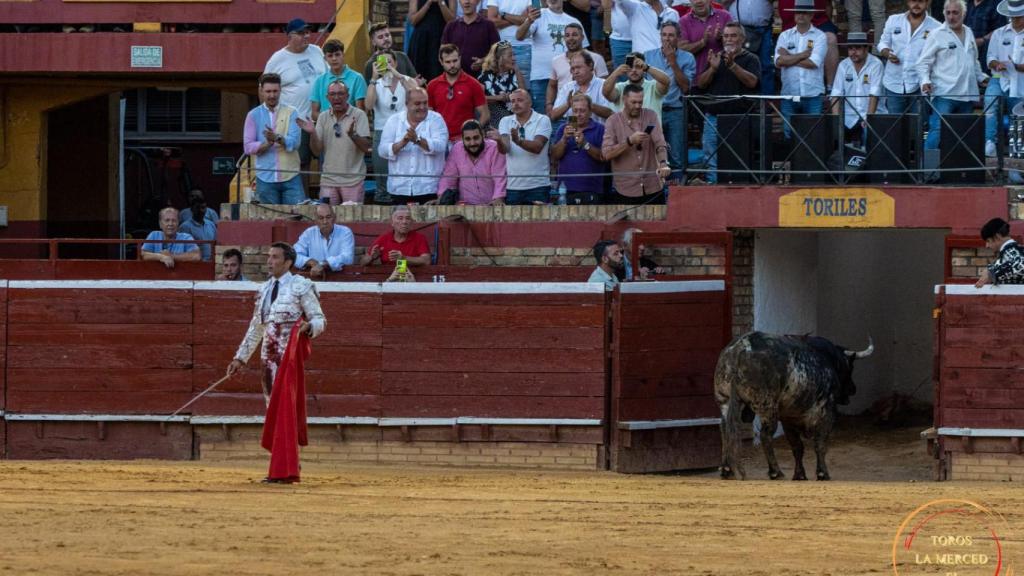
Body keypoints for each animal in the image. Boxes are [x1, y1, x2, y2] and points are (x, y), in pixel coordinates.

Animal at [712, 330, 872, 477]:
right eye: (850, 367)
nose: (853, 389)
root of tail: (740, 348)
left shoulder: (789, 418)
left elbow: (797, 447)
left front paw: (799, 475)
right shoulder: (827, 411)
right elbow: (820, 444)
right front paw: (822, 473)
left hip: (724, 401)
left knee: (724, 429)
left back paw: (726, 469)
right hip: (767, 407)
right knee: (765, 435)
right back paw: (775, 471)